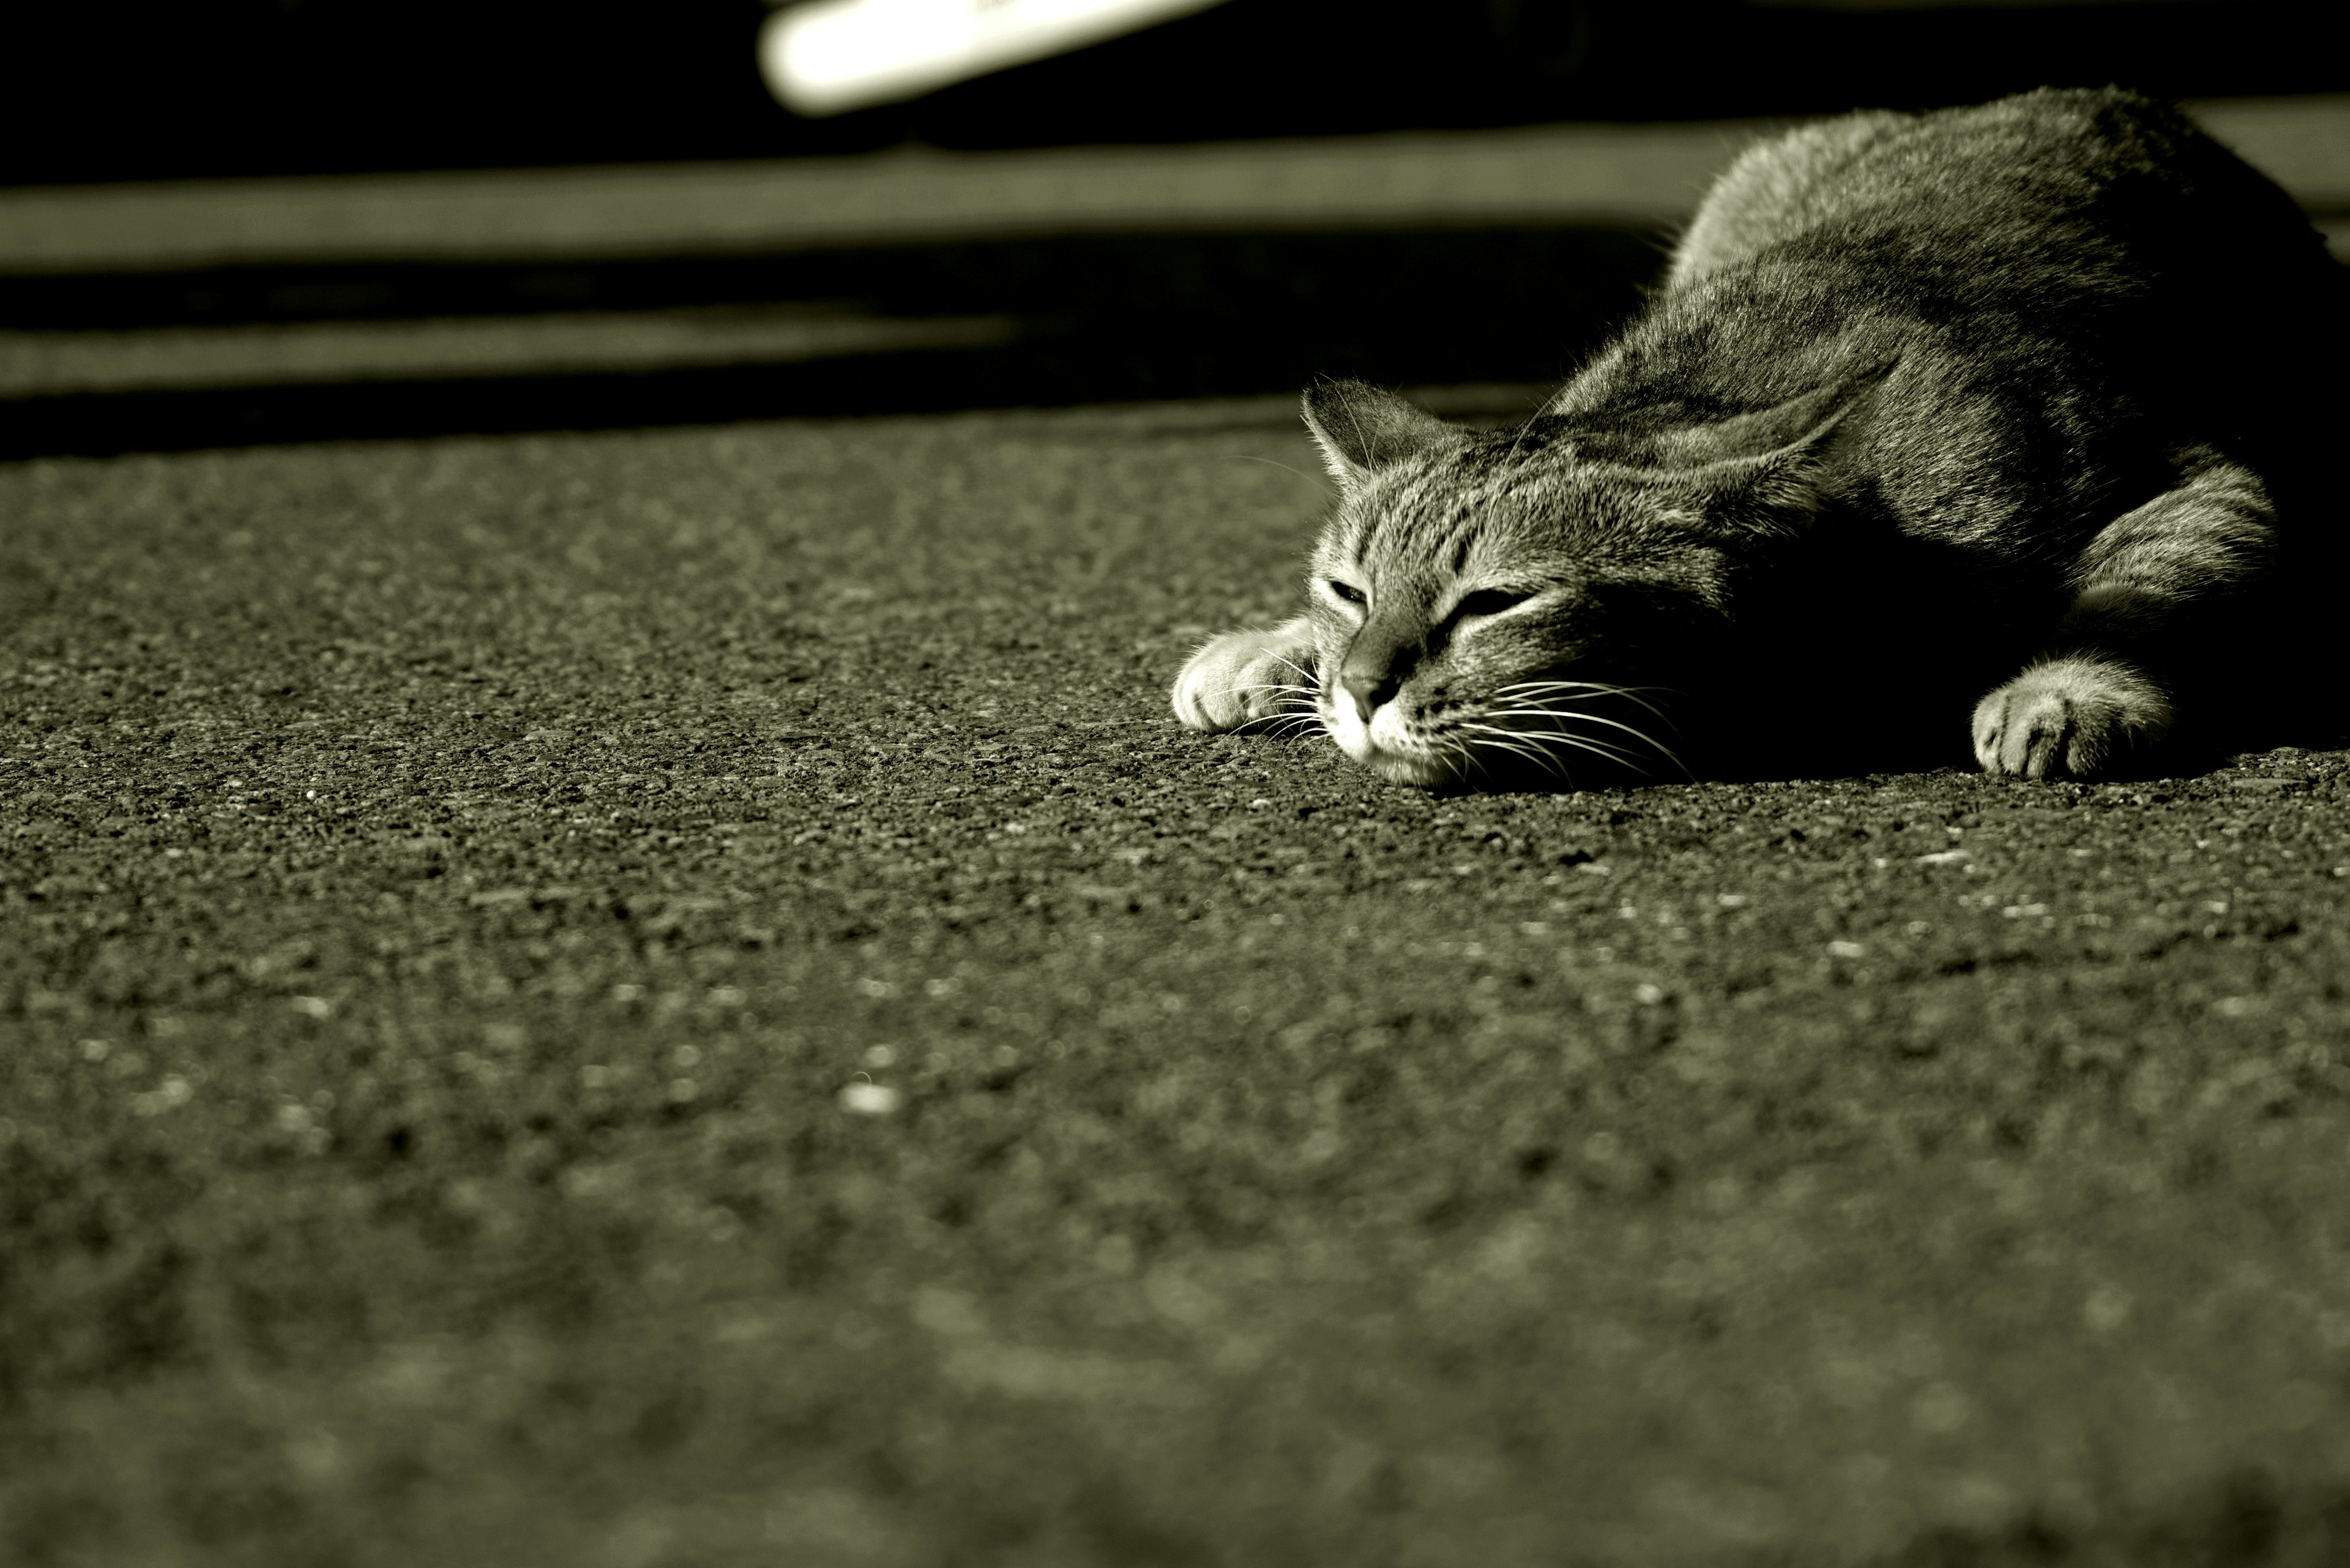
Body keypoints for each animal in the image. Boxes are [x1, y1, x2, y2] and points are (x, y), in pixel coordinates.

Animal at [1175, 89, 2350, 785]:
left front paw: (2070, 687)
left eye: (1496, 603)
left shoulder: (2203, 484)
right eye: (1349, 592)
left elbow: (2139, 591)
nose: (1362, 686)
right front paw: (1282, 647)